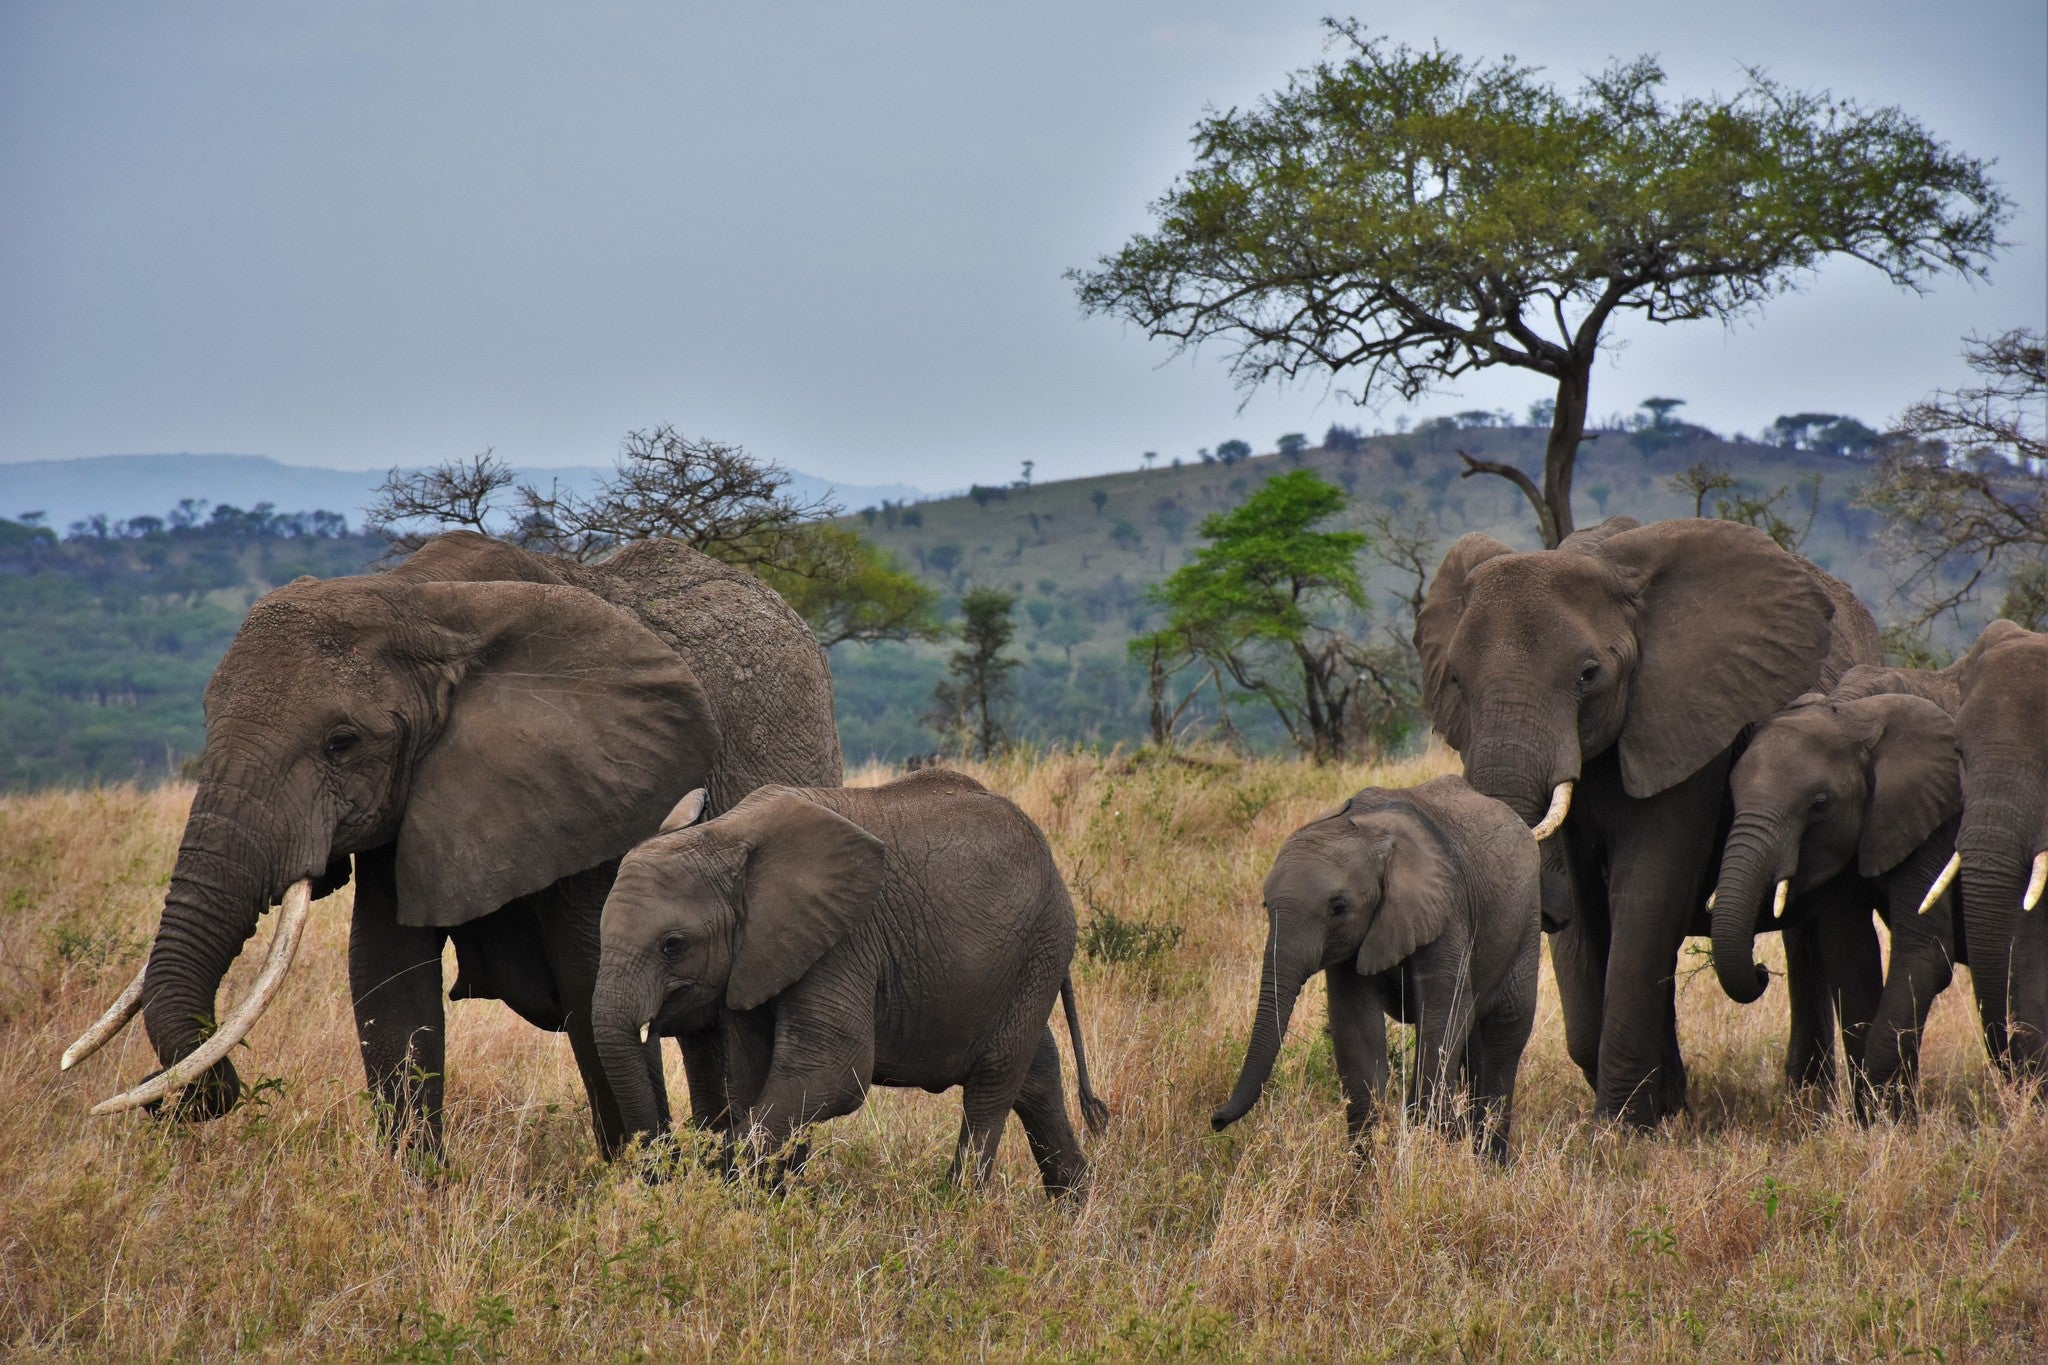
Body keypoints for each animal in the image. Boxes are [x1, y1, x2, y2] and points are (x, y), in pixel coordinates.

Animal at [58, 527, 839, 1162]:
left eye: (342, 742)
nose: (172, 1094)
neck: (421, 602)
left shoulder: (602, 800)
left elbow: (592, 987)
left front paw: (642, 1185)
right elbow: (386, 978)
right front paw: (416, 1197)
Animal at [589, 769, 1105, 1195]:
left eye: (673, 946)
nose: (668, 1166)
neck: (723, 837)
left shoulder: (842, 941)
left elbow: (834, 1069)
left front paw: (726, 1180)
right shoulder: (754, 958)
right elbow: (758, 1070)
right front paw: (769, 1200)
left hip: (1042, 943)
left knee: (994, 1080)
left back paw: (962, 1204)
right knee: (1035, 1074)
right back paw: (1074, 1206)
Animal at [1212, 777, 1540, 1162]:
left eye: (1338, 907)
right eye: (1265, 905)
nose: (1216, 1120)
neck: (1366, 831)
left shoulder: (1447, 908)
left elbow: (1444, 1012)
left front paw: (1429, 1142)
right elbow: (1355, 1025)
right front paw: (1369, 1166)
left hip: (1526, 922)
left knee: (1506, 1034)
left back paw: (1490, 1162)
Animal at [1417, 517, 1875, 1129]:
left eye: (1589, 675)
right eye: (1456, 682)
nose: (1758, 973)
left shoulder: (1691, 726)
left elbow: (1647, 898)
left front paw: (1620, 1130)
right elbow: (1586, 918)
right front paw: (1660, 1105)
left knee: (1803, 936)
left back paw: (1808, 1102)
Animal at [1703, 687, 1957, 1113]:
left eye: (1819, 805)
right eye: (1731, 795)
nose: (1760, 970)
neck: (1857, 718)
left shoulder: (1927, 816)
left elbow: (1926, 950)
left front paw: (1885, 1114)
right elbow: (1850, 954)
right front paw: (1874, 1115)